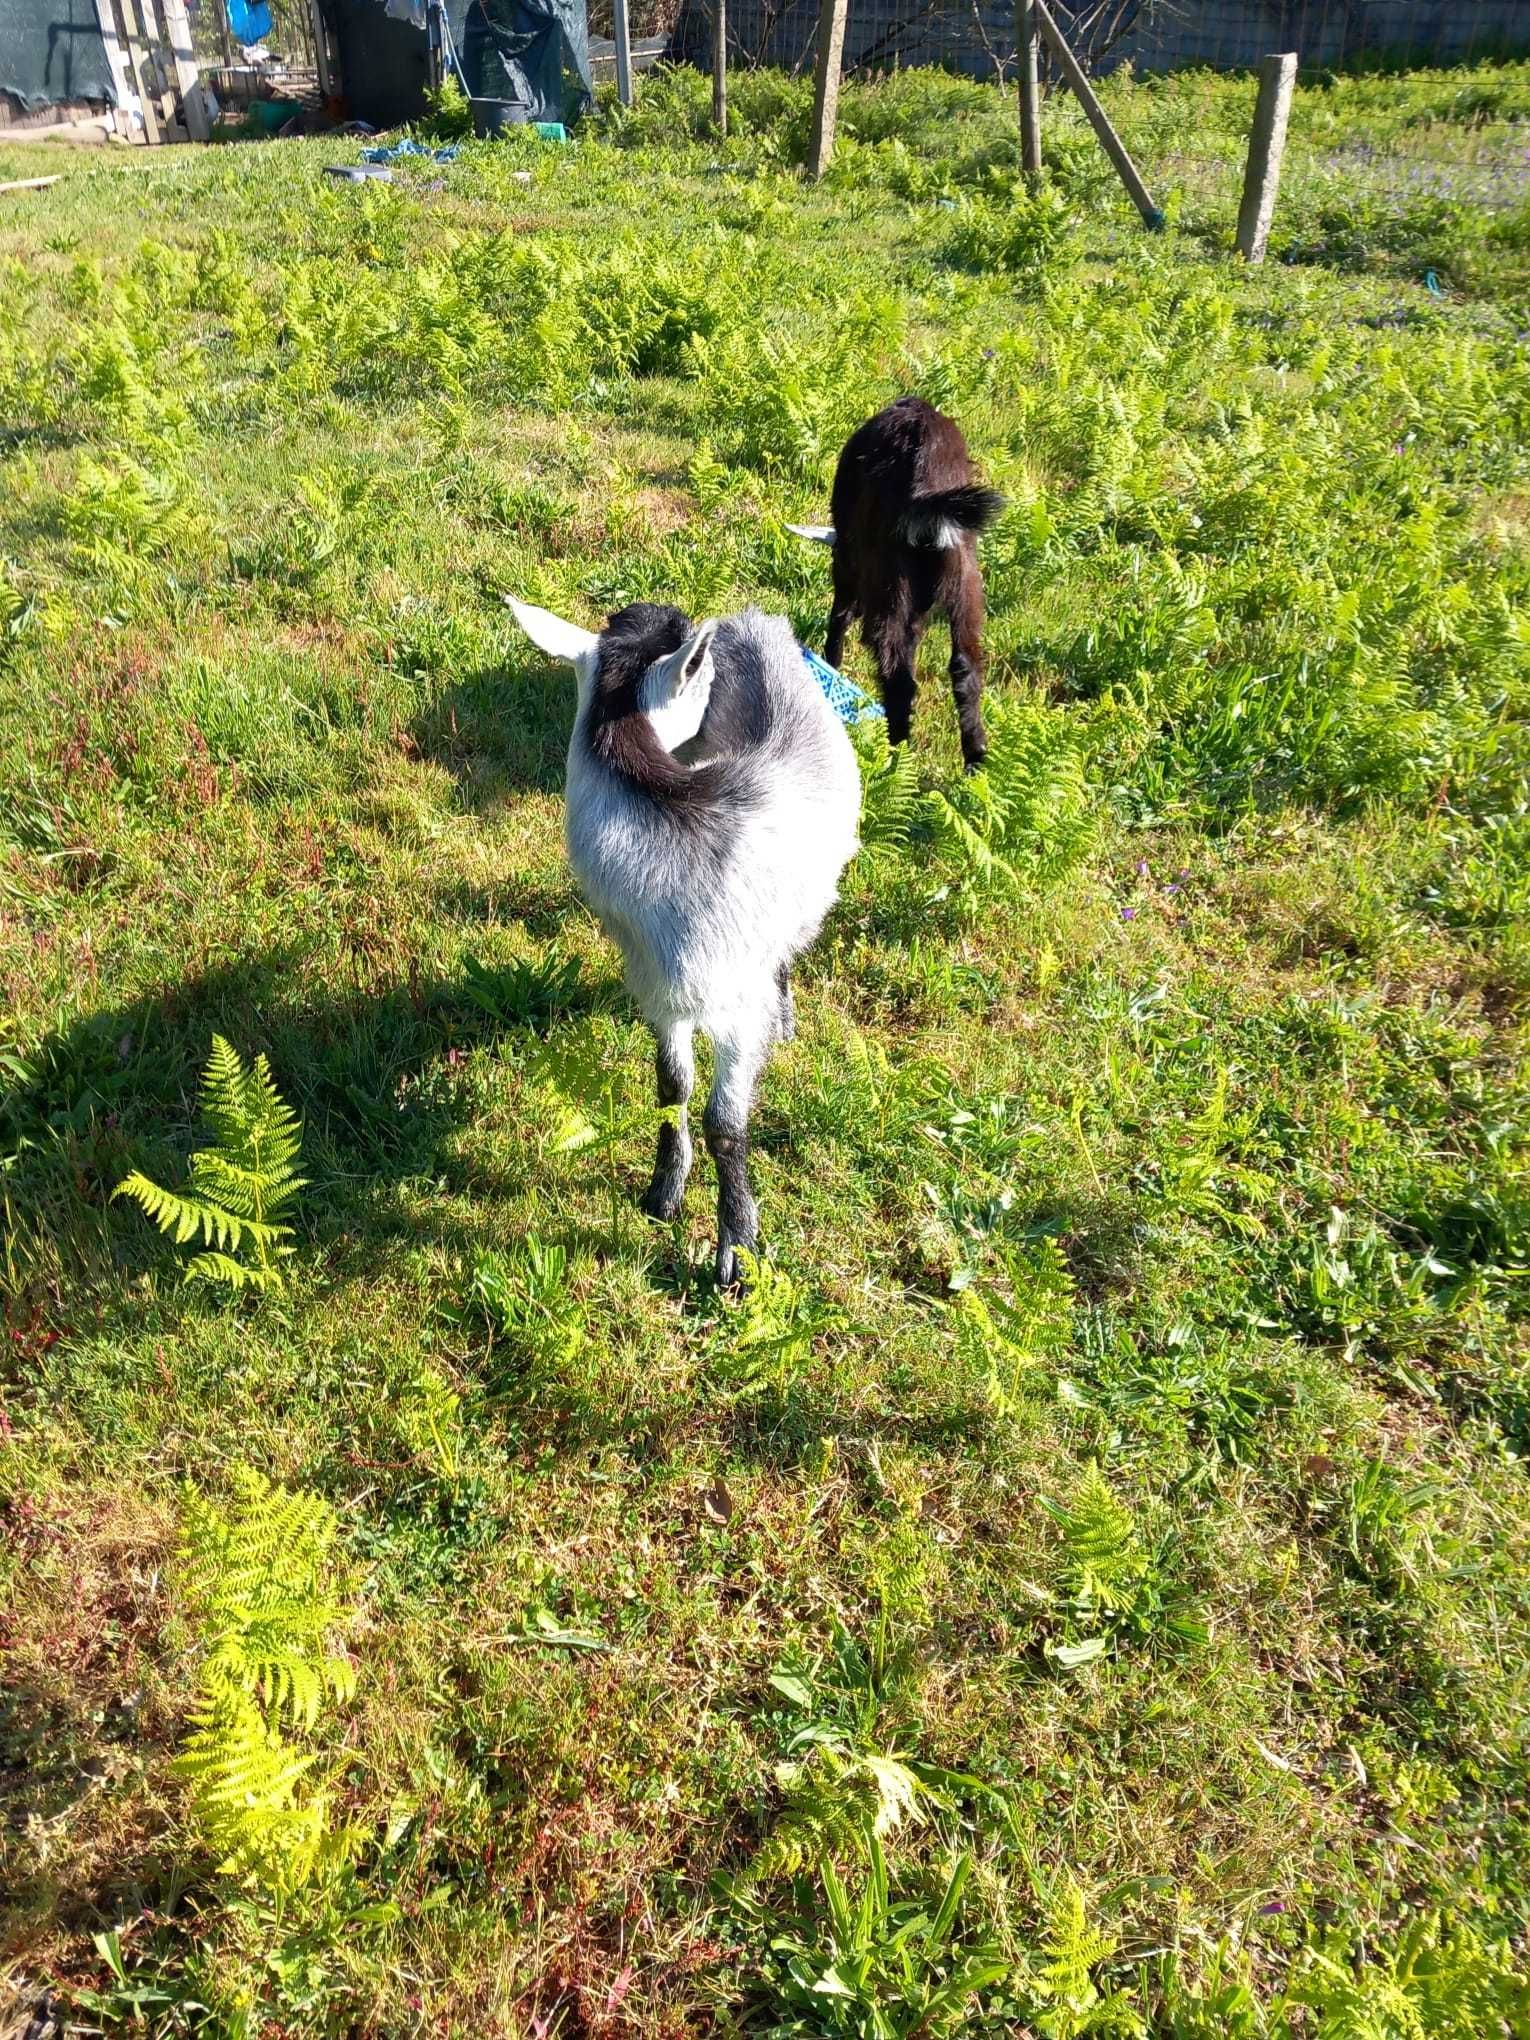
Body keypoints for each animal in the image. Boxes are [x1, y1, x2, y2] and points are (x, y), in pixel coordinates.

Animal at [505, 595, 856, 1281]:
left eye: (704, 675)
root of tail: (758, 619)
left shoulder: (735, 1008)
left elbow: (726, 1121)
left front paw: (737, 1246)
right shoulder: (660, 992)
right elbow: (672, 1087)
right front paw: (662, 1192)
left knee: (787, 949)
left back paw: (787, 1015)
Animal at [791, 399, 1007, 771]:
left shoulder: (847, 559)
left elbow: (840, 613)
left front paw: (832, 664)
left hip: (888, 579)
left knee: (897, 674)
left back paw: (897, 752)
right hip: (965, 578)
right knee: (965, 665)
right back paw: (976, 759)